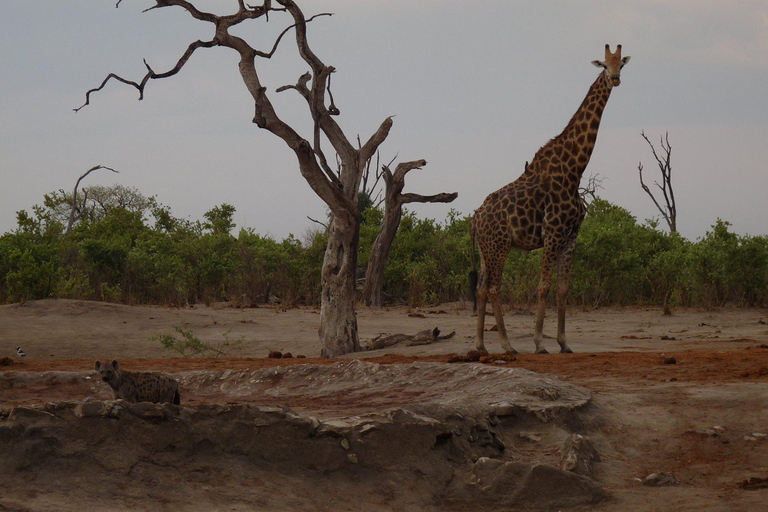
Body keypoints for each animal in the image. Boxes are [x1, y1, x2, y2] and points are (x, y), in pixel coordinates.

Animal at [474, 44, 632, 354]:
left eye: (622, 64)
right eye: (603, 65)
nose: (615, 79)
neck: (574, 172)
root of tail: (475, 218)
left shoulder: (571, 236)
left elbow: (562, 288)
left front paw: (564, 342)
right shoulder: (552, 233)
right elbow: (543, 286)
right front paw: (539, 343)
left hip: (486, 249)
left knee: (482, 287)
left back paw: (481, 345)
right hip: (499, 246)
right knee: (495, 287)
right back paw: (507, 345)